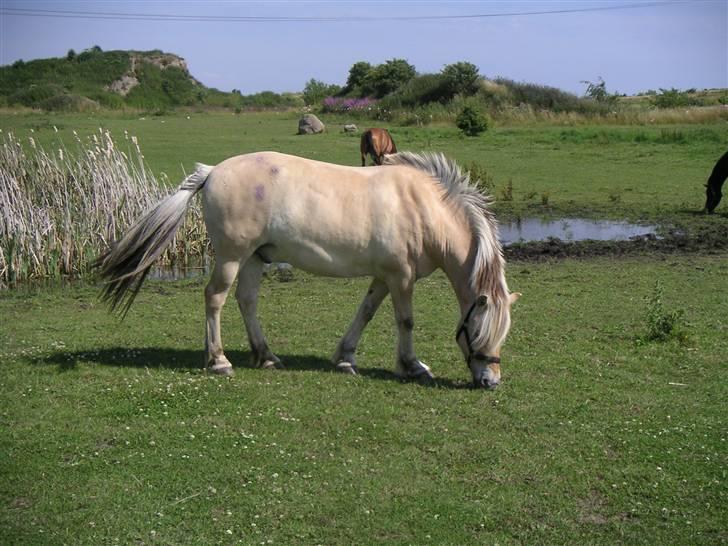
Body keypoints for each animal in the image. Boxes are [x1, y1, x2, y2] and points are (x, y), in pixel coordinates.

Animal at [96, 150, 516, 386]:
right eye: (478, 330)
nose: (491, 381)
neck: (422, 206)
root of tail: (212, 171)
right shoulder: (401, 277)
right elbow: (405, 321)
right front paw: (412, 366)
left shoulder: (385, 276)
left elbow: (365, 312)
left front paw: (346, 357)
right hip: (232, 256)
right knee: (215, 298)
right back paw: (218, 361)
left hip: (254, 258)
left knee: (246, 301)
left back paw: (265, 356)